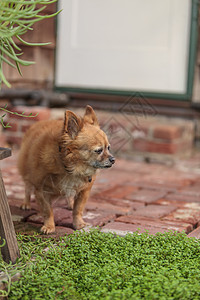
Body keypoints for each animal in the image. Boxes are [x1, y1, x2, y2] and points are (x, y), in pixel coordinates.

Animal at [18, 105, 115, 234]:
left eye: (108, 148)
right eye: (99, 150)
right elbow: (47, 211)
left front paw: (78, 224)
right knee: (27, 187)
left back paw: (70, 203)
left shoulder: (84, 191)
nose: (113, 159)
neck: (72, 168)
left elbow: (78, 209)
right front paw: (49, 226)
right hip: (27, 172)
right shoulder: (41, 191)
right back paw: (26, 203)